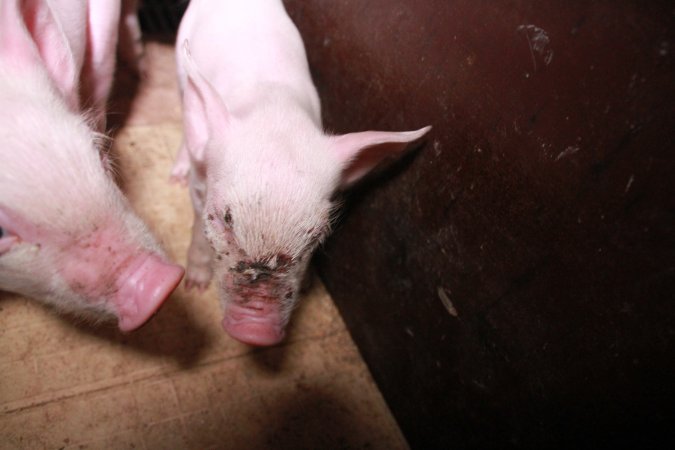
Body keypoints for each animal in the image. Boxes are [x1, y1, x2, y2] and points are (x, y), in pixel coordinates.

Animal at [171, 0, 430, 346]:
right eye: (223, 221)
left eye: (316, 236)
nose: (256, 332)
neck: (274, 110)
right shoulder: (200, 186)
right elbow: (197, 227)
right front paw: (195, 285)